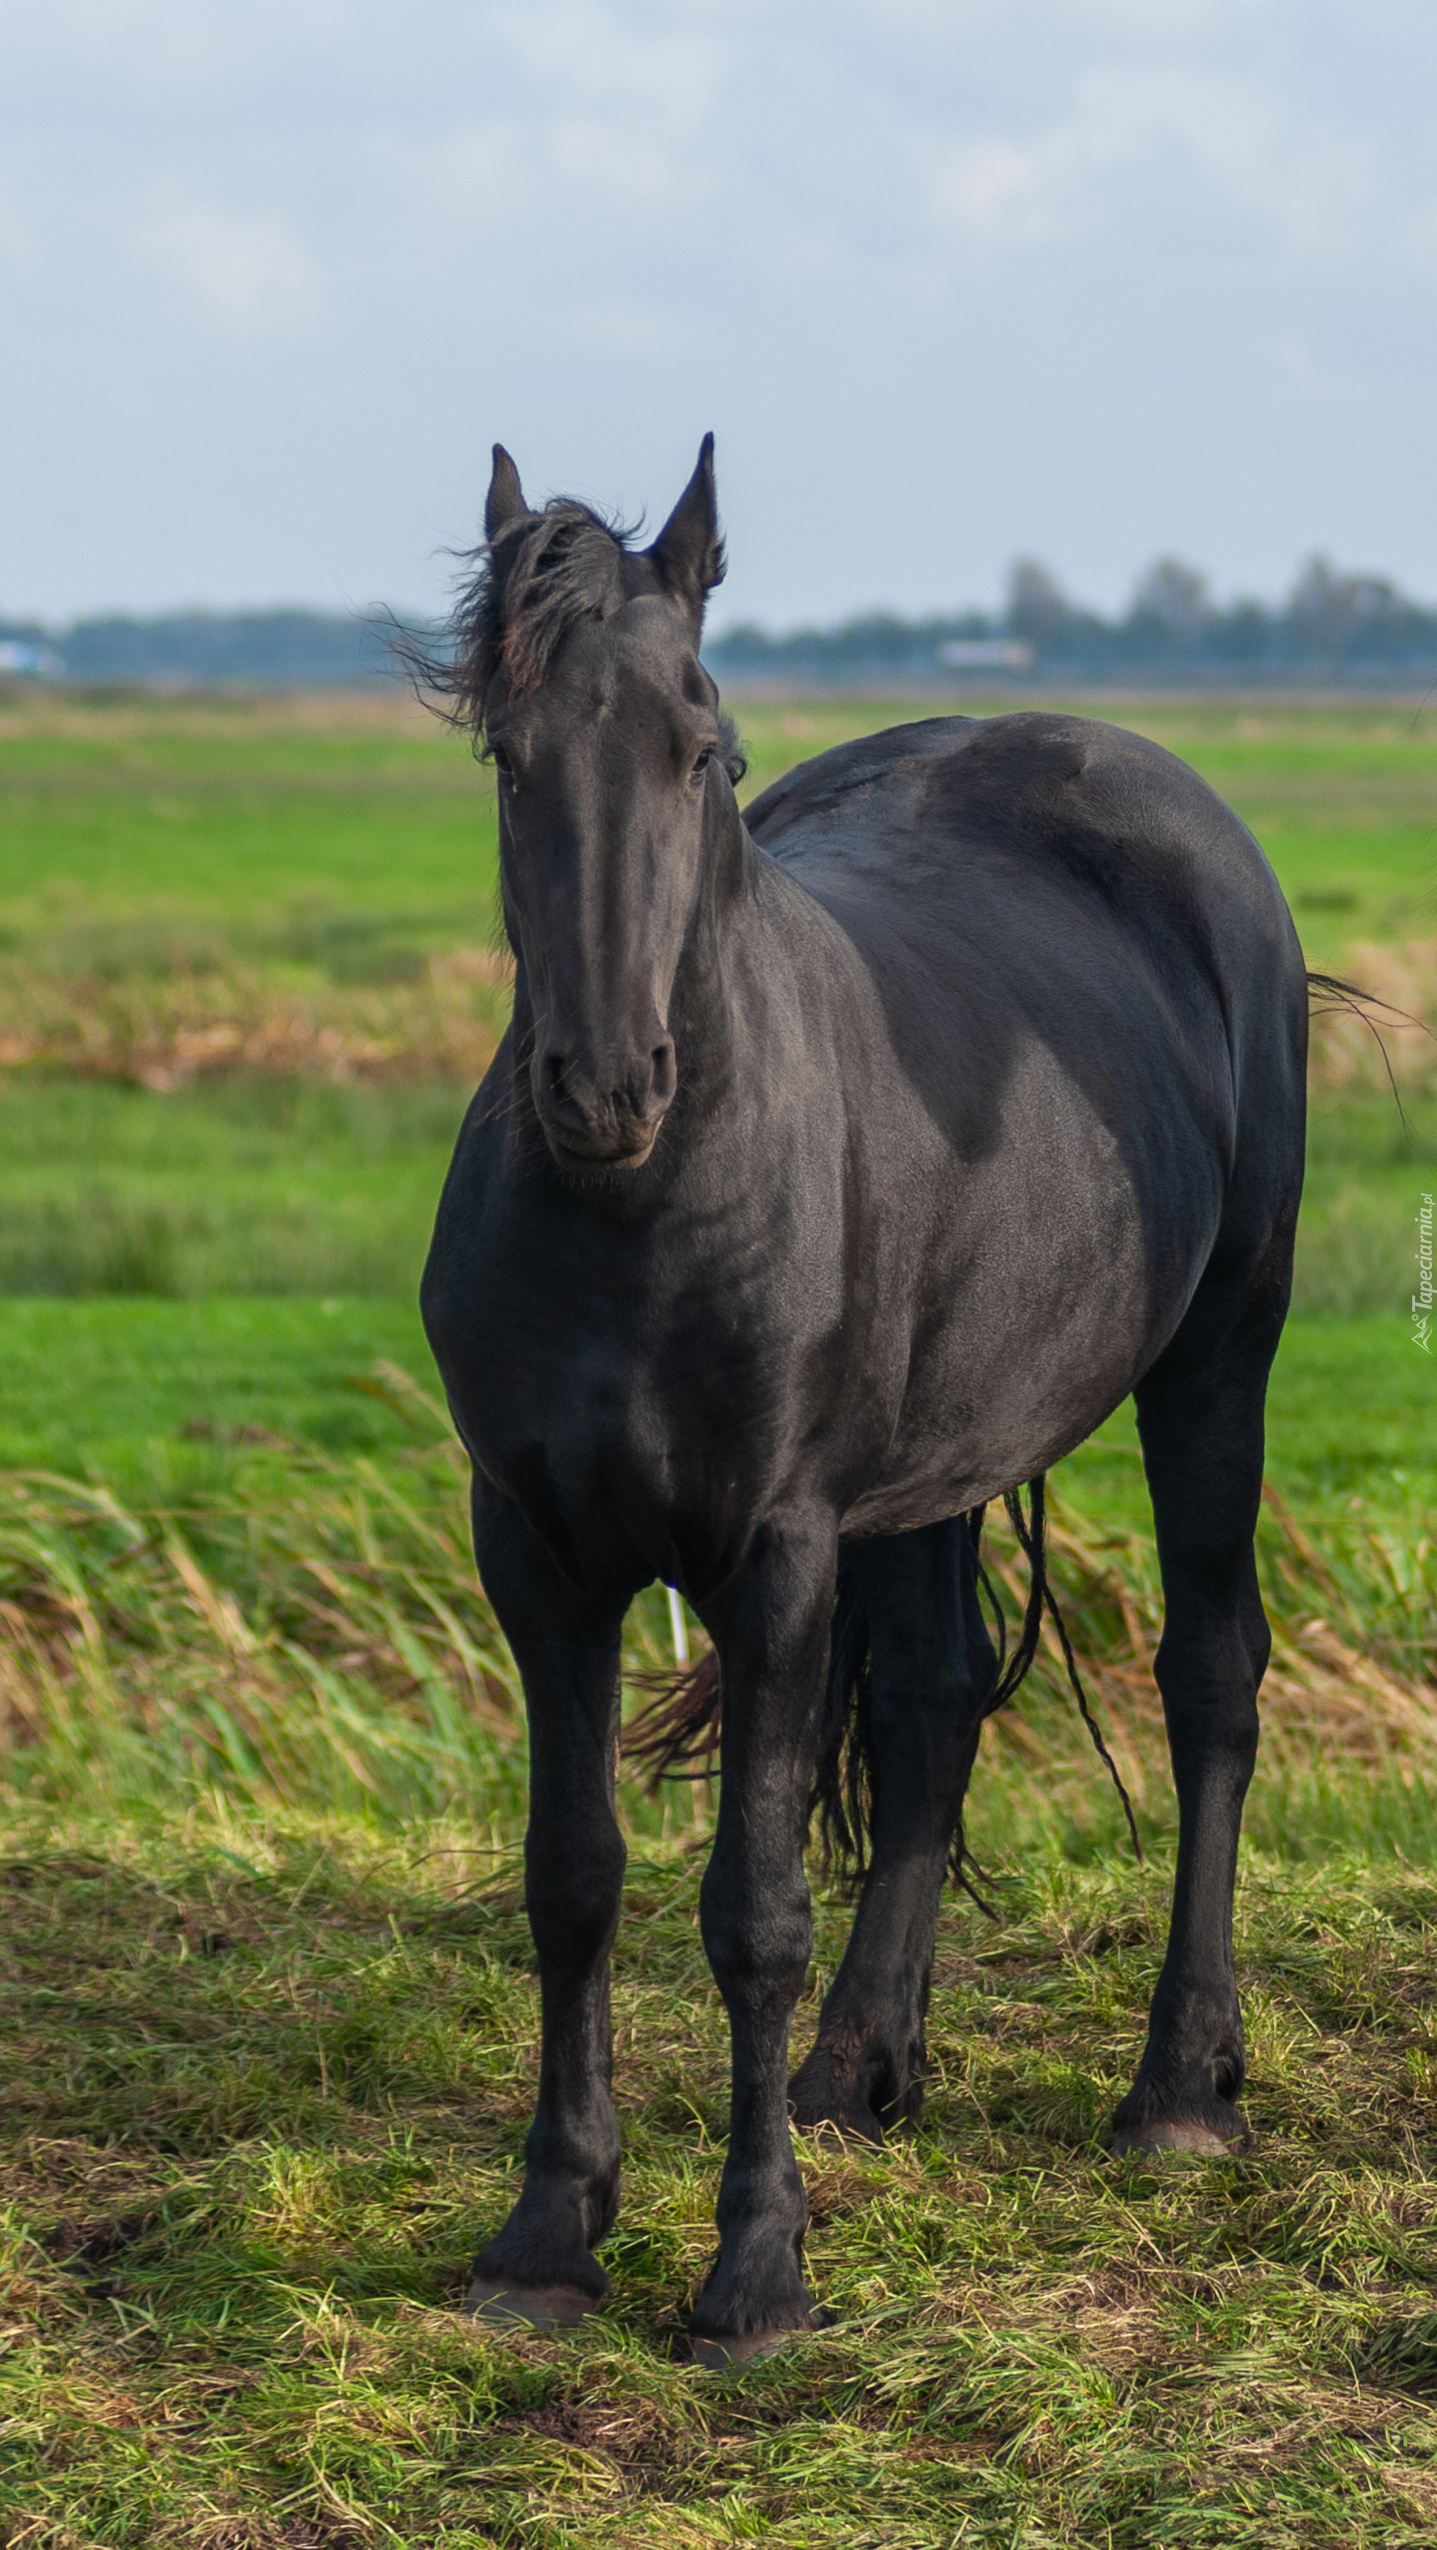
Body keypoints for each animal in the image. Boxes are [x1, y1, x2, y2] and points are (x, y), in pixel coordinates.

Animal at [420, 433, 1304, 2346]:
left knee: (1210, 1675)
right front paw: (548, 2231)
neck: (640, 1216)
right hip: (933, 1468)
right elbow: (572, 1877)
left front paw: (755, 2266)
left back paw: (1176, 2090)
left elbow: (751, 1908)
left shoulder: (776, 1554)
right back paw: (857, 2071)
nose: (605, 1086)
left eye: (708, 750)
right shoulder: (537, 1551)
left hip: (1218, 1357)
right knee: (933, 1702)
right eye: (513, 761)